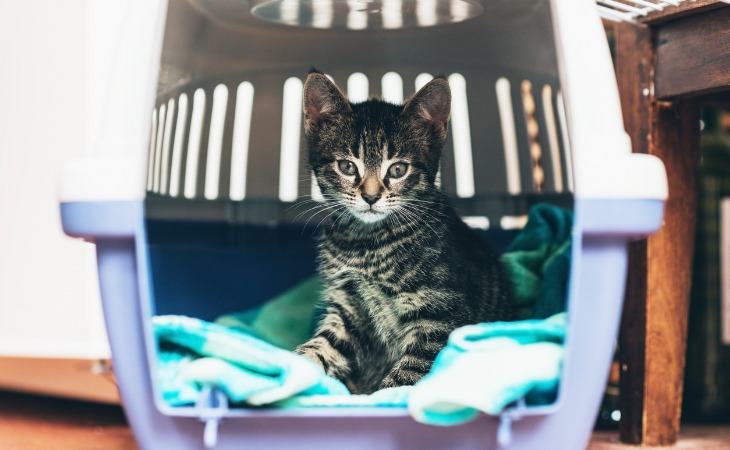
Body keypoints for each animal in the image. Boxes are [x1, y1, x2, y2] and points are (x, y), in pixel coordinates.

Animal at [292, 70, 510, 394]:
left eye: (397, 170)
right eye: (347, 166)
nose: (370, 197)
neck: (366, 243)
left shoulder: (440, 316)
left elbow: (406, 378)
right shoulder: (348, 309)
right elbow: (324, 345)